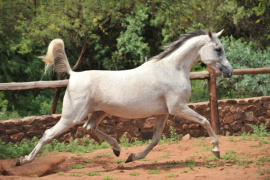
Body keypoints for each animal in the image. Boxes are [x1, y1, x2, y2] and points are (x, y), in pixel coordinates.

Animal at [15, 29, 233, 166]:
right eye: (218, 49)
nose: (229, 71)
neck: (172, 69)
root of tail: (73, 75)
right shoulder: (178, 107)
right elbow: (205, 121)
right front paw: (216, 151)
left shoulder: (163, 113)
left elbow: (155, 139)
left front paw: (132, 157)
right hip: (72, 116)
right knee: (48, 133)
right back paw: (23, 161)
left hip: (99, 112)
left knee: (89, 127)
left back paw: (117, 148)